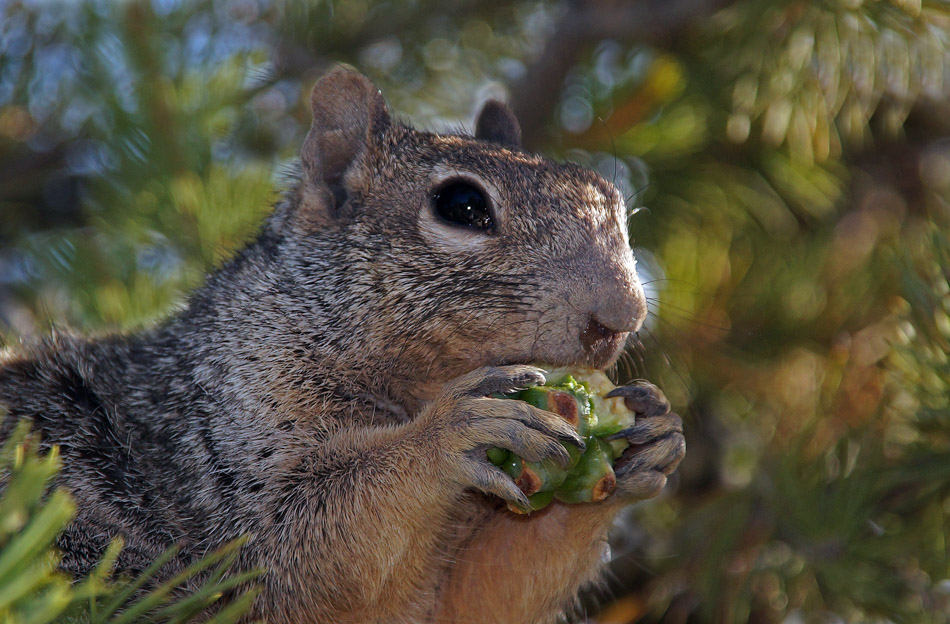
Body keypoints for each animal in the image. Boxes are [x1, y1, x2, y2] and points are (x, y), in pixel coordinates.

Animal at [0, 68, 684, 624]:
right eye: (462, 205)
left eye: (611, 199)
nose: (623, 314)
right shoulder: (217, 452)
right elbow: (291, 547)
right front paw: (449, 435)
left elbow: (485, 594)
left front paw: (645, 442)